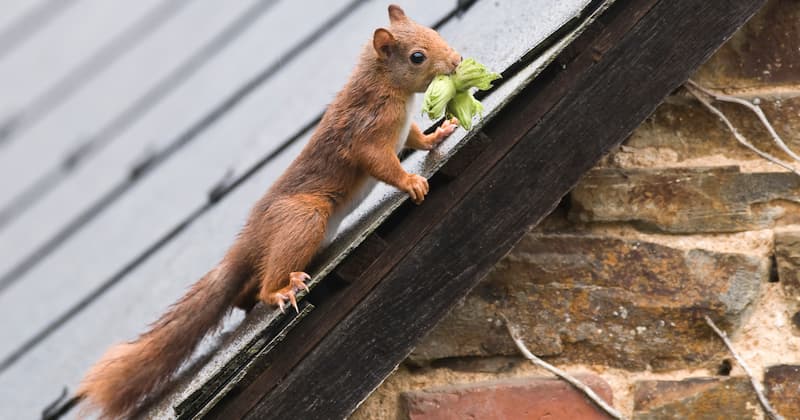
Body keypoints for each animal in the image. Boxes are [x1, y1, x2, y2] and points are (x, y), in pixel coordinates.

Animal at [76, 4, 462, 418]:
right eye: (417, 56)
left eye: (432, 31)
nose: (456, 60)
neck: (386, 88)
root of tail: (248, 241)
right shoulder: (368, 132)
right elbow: (382, 164)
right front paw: (412, 182)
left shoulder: (400, 130)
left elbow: (416, 138)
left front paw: (439, 134)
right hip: (303, 218)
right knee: (264, 286)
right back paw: (281, 291)